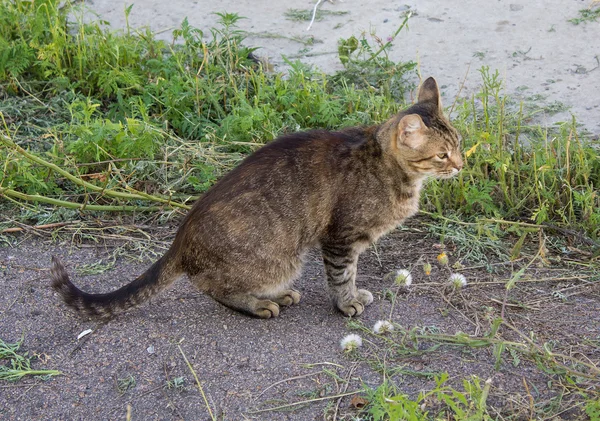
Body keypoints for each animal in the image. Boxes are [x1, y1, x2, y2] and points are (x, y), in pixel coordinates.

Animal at [51, 75, 464, 318]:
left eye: (459, 144)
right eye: (442, 155)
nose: (462, 164)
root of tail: (180, 239)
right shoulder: (340, 237)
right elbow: (342, 275)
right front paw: (347, 302)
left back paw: (277, 296)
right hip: (279, 259)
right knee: (210, 285)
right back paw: (260, 303)